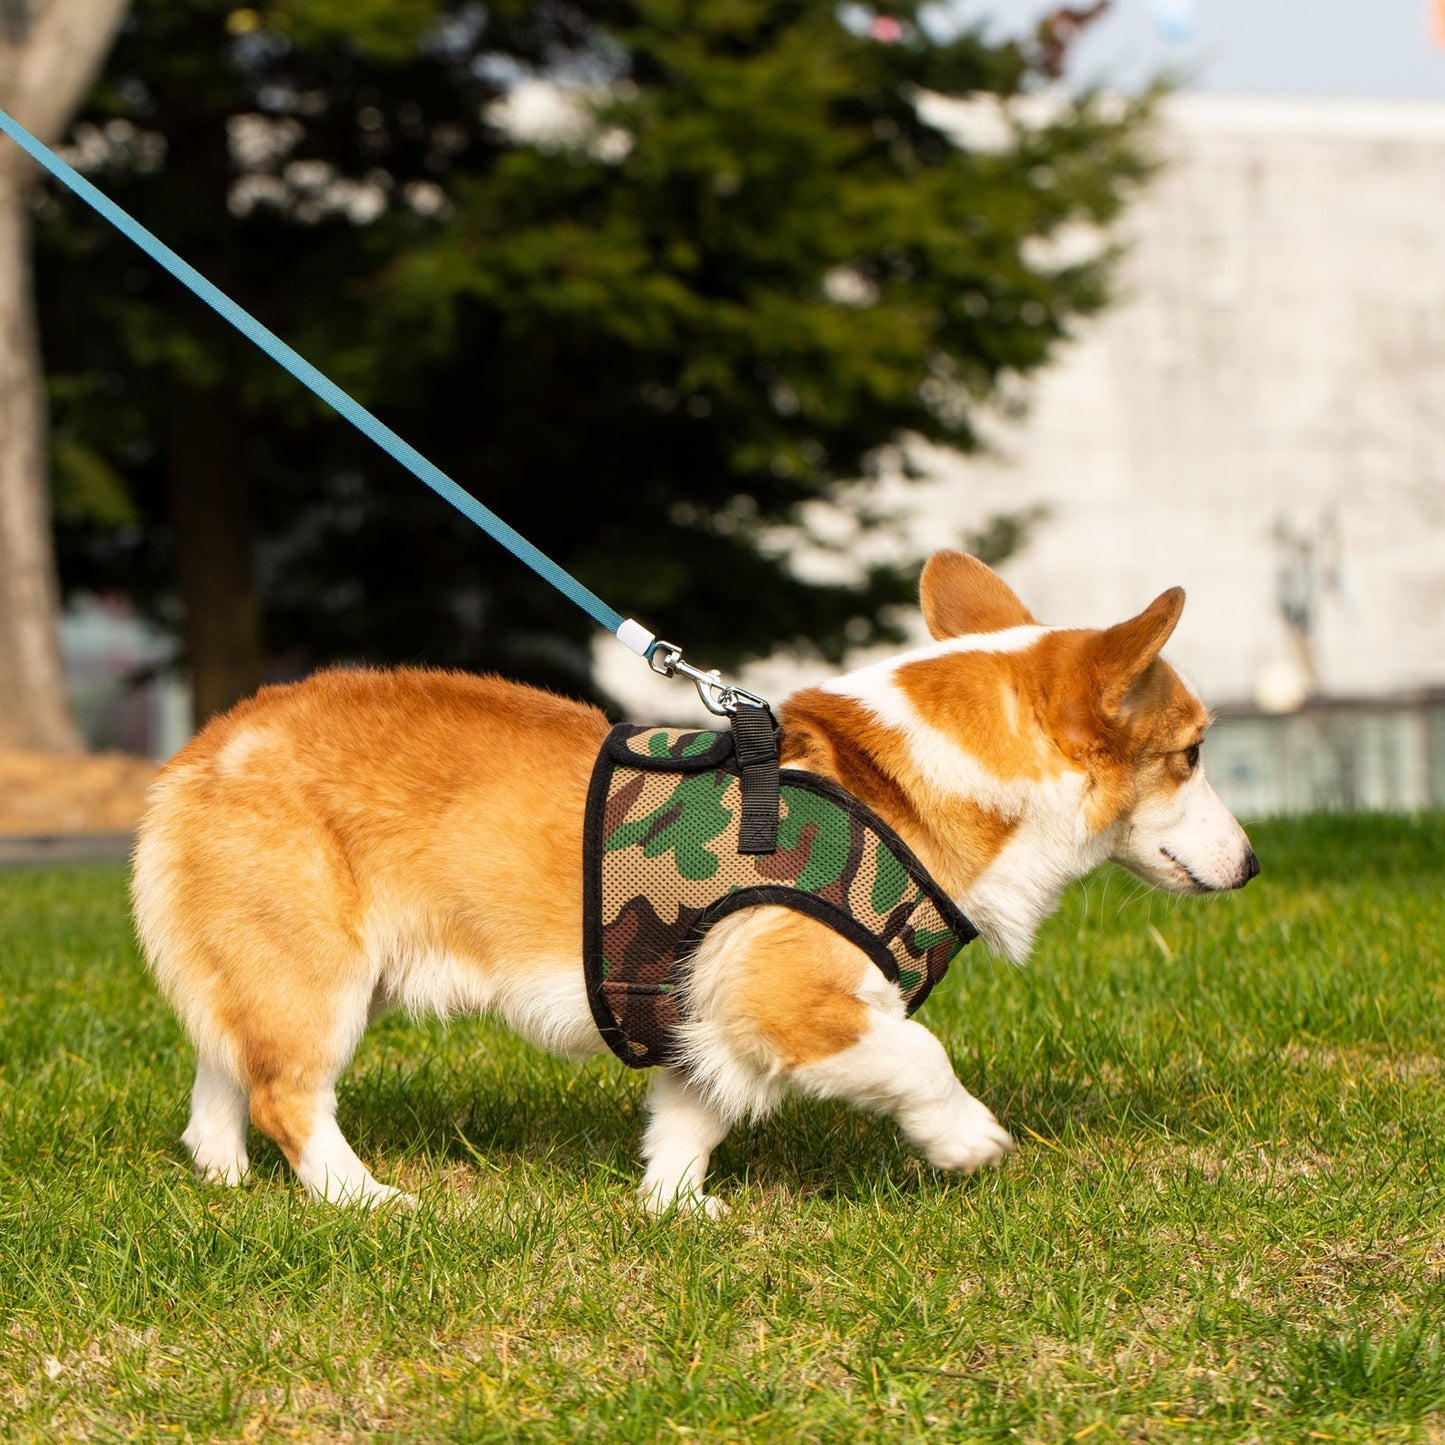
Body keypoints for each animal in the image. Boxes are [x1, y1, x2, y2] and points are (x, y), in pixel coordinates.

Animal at [130, 557, 1254, 1213]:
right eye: (1193, 751)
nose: (1249, 865)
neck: (903, 788)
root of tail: (199, 750)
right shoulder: (786, 997)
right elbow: (918, 1055)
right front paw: (967, 1140)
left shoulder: (701, 1018)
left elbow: (689, 1120)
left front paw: (673, 1208)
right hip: (318, 979)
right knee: (286, 1092)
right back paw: (364, 1199)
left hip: (278, 969)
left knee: (223, 1071)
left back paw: (223, 1177)